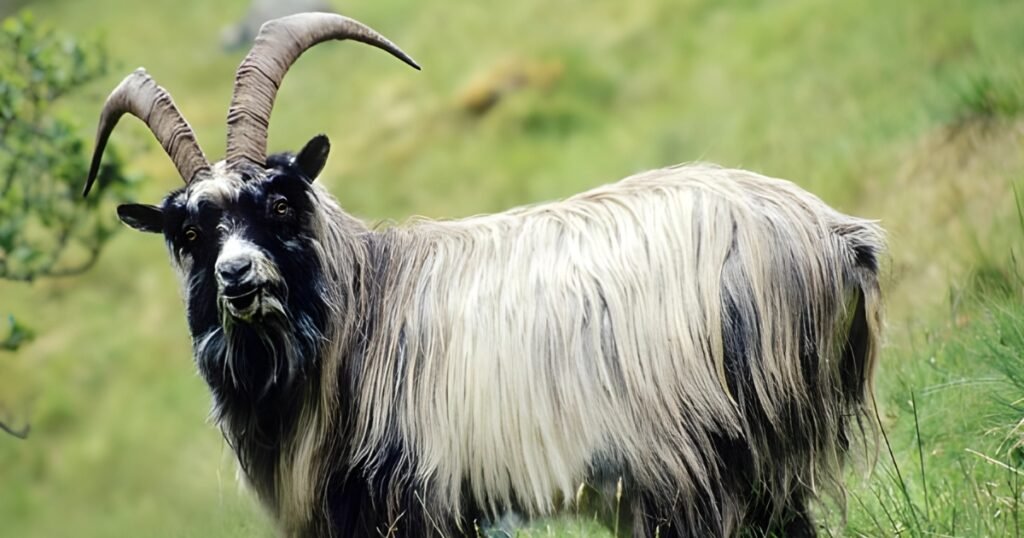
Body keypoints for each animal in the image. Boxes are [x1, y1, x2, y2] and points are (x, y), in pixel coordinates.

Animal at [84, 12, 884, 538]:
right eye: (190, 233)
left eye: (280, 202)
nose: (237, 278)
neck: (366, 307)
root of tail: (832, 238)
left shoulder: (414, 504)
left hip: (695, 466)